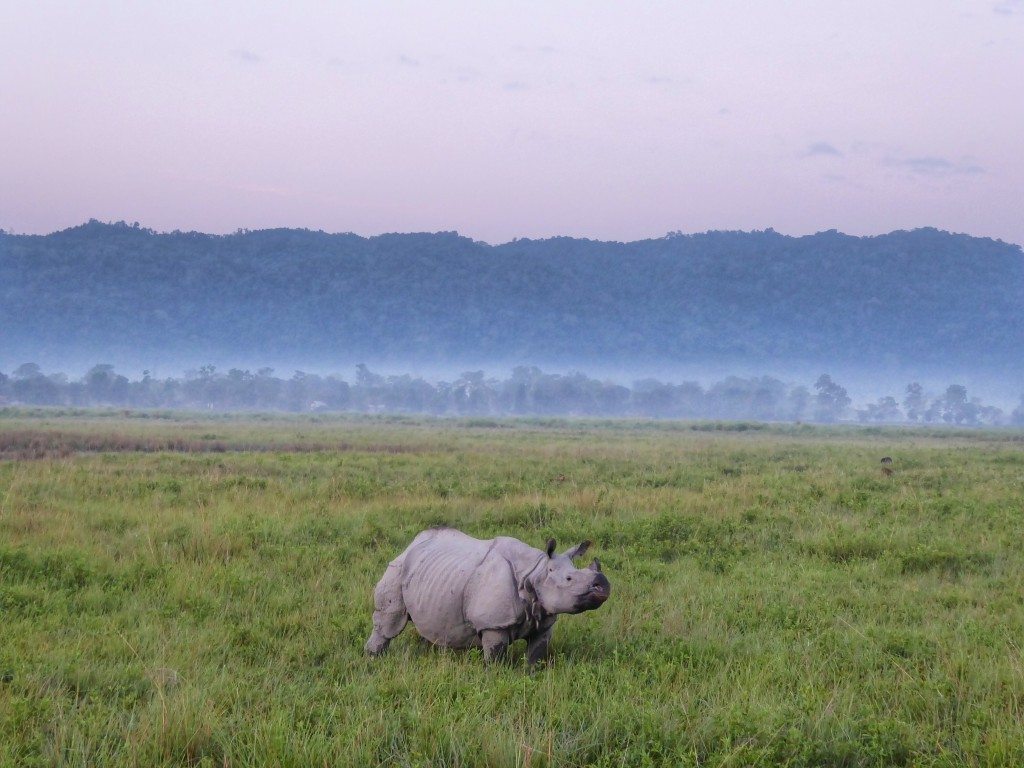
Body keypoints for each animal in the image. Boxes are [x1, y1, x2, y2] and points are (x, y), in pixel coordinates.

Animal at [365, 527, 611, 665]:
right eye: (569, 579)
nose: (604, 585)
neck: (535, 572)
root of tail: (411, 545)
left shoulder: (544, 621)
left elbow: (535, 655)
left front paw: (531, 674)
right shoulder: (494, 624)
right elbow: (495, 657)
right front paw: (495, 679)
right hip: (397, 569)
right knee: (390, 621)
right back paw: (373, 659)